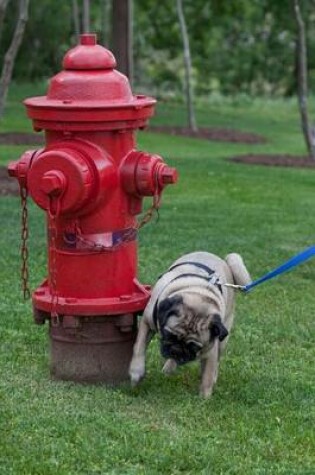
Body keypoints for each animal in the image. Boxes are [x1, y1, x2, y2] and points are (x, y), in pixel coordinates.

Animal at [129, 253, 252, 398]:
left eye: (194, 346)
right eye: (169, 335)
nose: (177, 349)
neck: (198, 292)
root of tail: (224, 260)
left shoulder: (211, 348)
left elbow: (207, 376)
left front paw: (204, 398)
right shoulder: (147, 323)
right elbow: (139, 348)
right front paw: (136, 372)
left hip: (223, 339)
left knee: (216, 362)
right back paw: (168, 369)